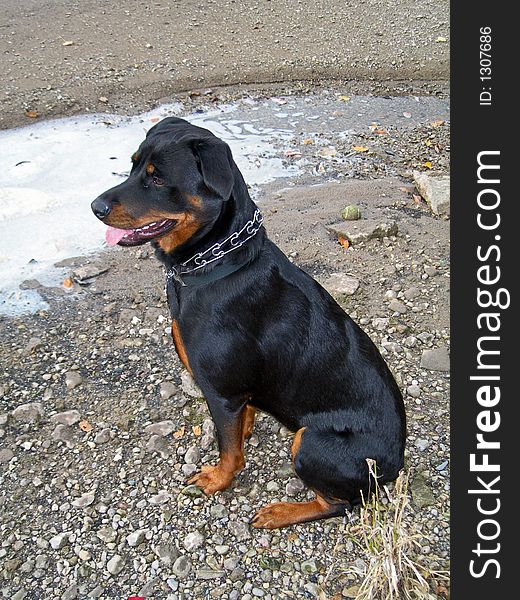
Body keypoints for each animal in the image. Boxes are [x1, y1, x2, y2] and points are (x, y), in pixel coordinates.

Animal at [91, 118, 404, 528]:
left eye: (157, 178)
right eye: (132, 166)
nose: (95, 207)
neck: (214, 263)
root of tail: (396, 466)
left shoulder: (219, 392)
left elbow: (230, 453)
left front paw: (217, 479)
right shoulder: (235, 393)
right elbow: (241, 422)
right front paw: (248, 426)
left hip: (310, 441)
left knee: (340, 503)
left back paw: (280, 512)